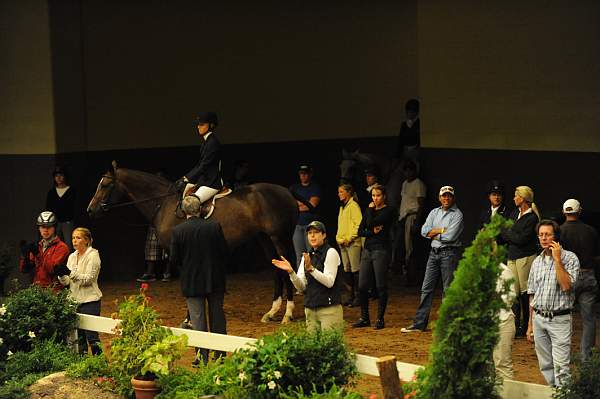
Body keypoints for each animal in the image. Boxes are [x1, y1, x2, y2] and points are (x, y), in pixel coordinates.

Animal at [86, 163, 298, 324]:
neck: (165, 204)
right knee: (277, 269)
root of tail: (287, 192)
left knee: (287, 267)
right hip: (264, 238)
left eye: (105, 185)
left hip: (279, 238)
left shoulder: (179, 253)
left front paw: (189, 320)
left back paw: (287, 314)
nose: (90, 210)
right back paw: (272, 312)